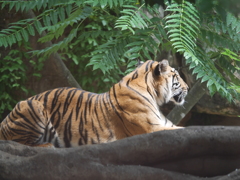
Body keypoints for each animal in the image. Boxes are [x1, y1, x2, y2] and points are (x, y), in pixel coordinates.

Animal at [0, 59, 188, 147]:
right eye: (177, 76)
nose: (187, 87)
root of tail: (4, 121)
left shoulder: (164, 124)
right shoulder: (152, 128)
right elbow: (183, 130)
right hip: (34, 107)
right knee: (18, 142)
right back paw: (47, 145)